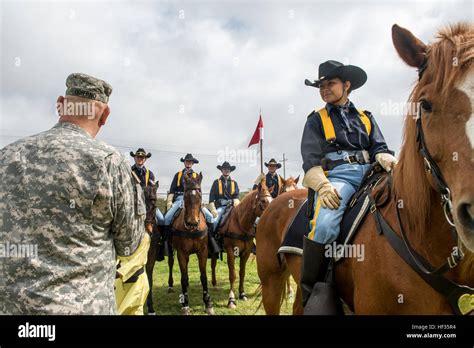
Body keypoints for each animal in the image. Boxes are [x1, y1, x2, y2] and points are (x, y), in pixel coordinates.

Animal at [171, 172, 214, 316]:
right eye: (184, 195)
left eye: (200, 194)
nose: (192, 222)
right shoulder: (181, 254)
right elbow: (183, 278)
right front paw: (185, 304)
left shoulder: (203, 252)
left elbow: (204, 277)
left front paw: (208, 303)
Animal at [211, 179, 274, 308]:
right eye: (263, 201)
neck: (240, 223)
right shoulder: (231, 252)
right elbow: (233, 275)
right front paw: (231, 300)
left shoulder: (246, 253)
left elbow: (242, 273)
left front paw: (242, 294)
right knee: (212, 264)